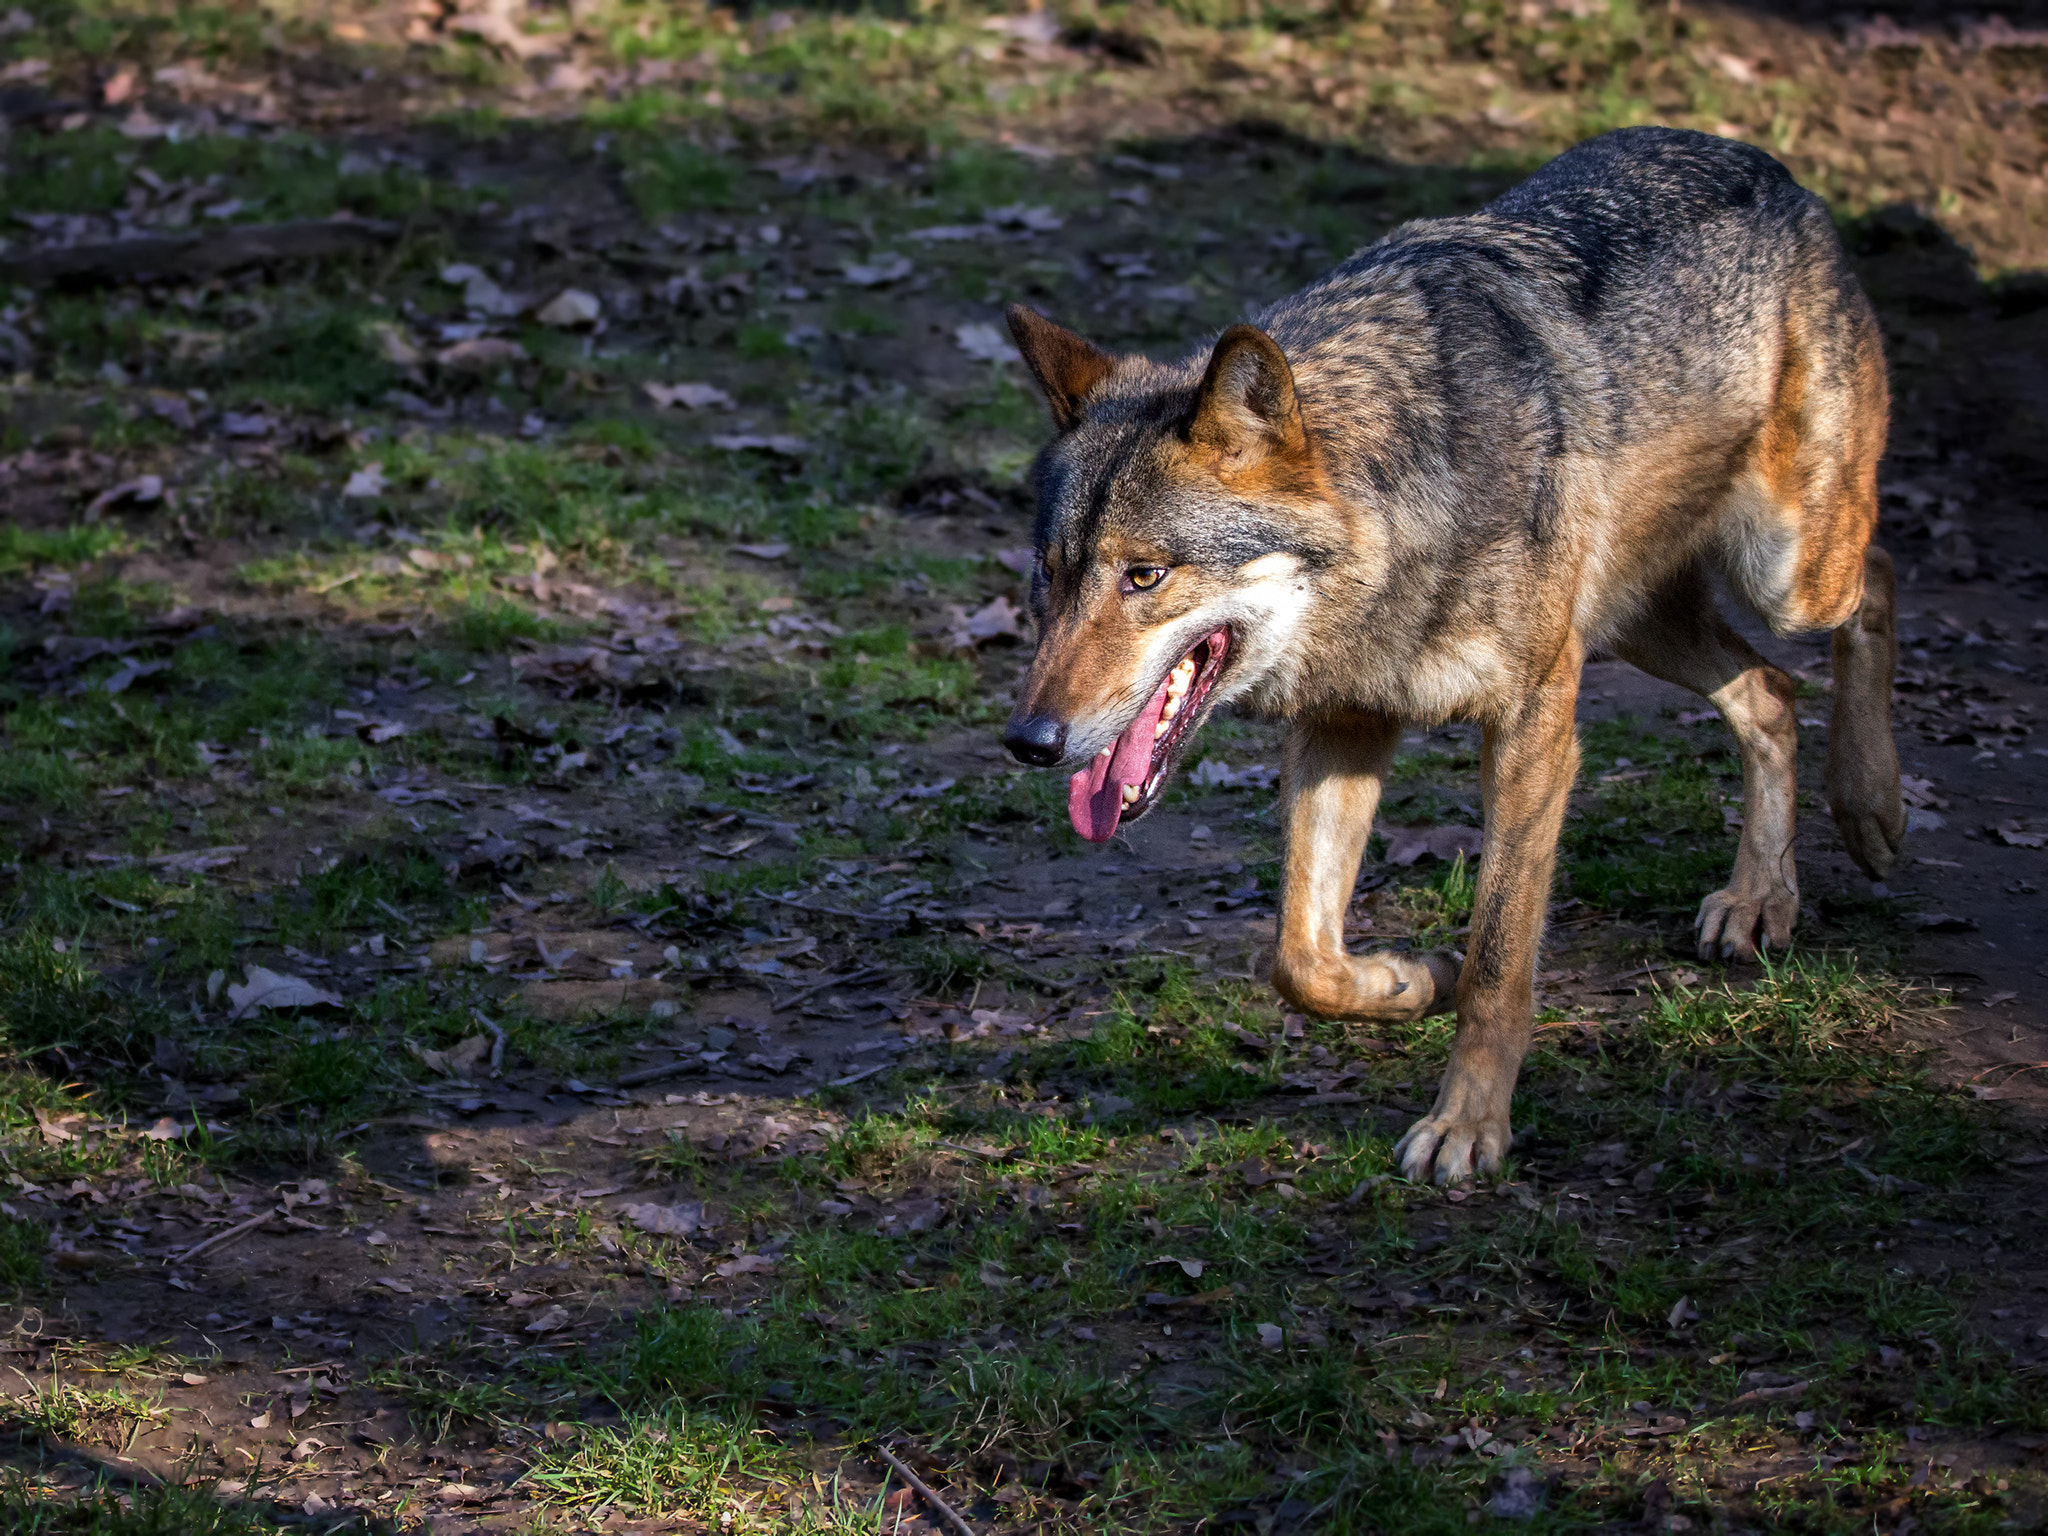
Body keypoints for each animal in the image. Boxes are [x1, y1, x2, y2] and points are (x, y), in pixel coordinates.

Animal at [999, 127, 1903, 1184]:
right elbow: (1301, 960)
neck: (1404, 510)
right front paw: (1410, 979)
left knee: (1874, 582)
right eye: (1049, 573)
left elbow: (1500, 960)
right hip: (1639, 617)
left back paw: (1871, 807)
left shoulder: (1533, 729)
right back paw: (1761, 900)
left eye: (1144, 576)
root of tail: (1767, 164)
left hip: (1785, 571)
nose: (1030, 741)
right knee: (1770, 691)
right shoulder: (1345, 726)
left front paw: (1469, 1126)